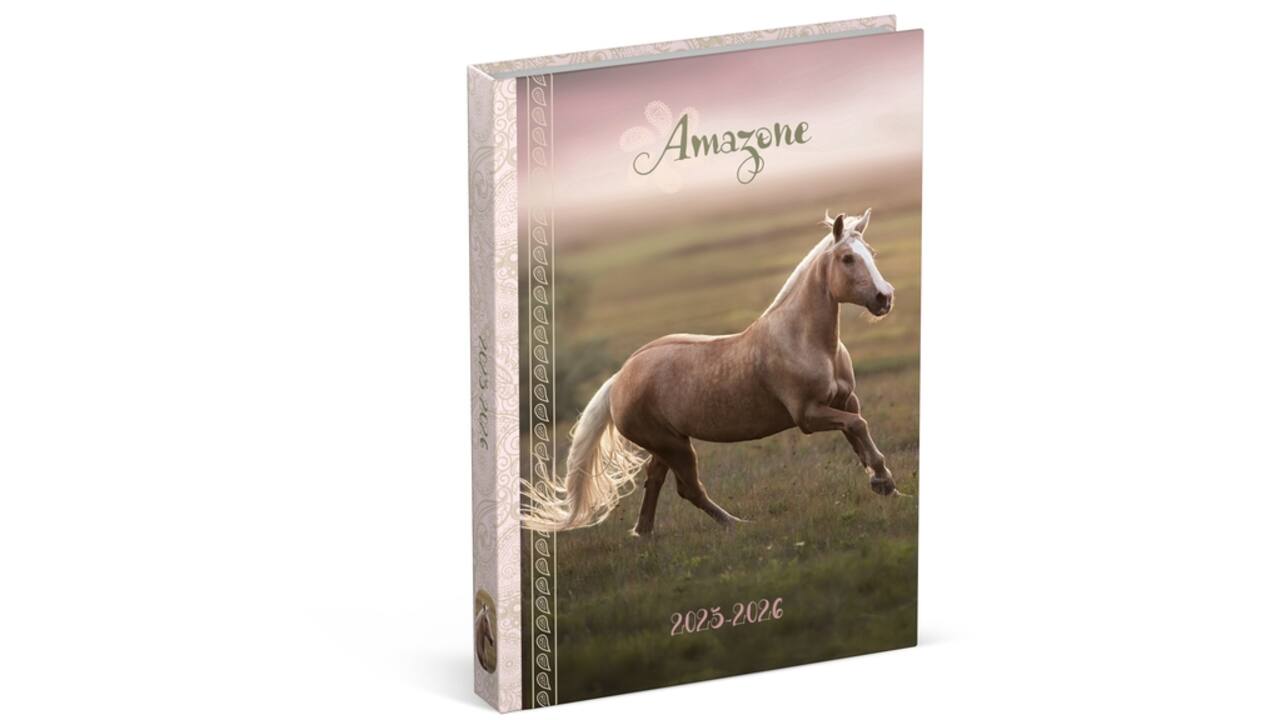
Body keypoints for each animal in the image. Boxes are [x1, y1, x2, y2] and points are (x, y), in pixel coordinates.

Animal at [522, 208, 901, 537]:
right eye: (847, 258)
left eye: (870, 252)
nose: (884, 298)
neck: (805, 341)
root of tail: (620, 377)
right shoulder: (808, 415)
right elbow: (858, 427)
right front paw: (884, 483)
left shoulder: (845, 400)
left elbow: (858, 434)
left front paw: (886, 485)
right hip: (674, 446)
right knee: (689, 489)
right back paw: (736, 524)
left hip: (667, 445)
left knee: (655, 479)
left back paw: (645, 534)